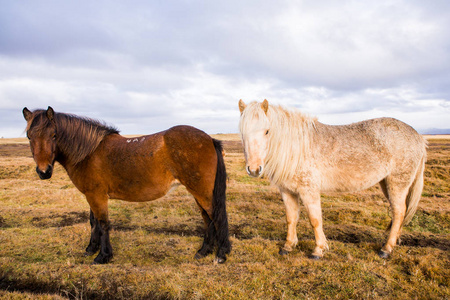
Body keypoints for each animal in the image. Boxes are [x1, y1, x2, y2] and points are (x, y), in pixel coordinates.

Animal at [22, 106, 230, 264]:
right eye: (29, 136)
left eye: (54, 135)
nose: (44, 172)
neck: (88, 152)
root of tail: (209, 139)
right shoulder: (91, 195)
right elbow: (93, 222)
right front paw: (91, 248)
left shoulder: (97, 196)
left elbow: (103, 223)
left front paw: (103, 256)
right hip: (199, 192)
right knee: (208, 219)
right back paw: (204, 251)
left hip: (202, 192)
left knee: (216, 217)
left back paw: (220, 254)